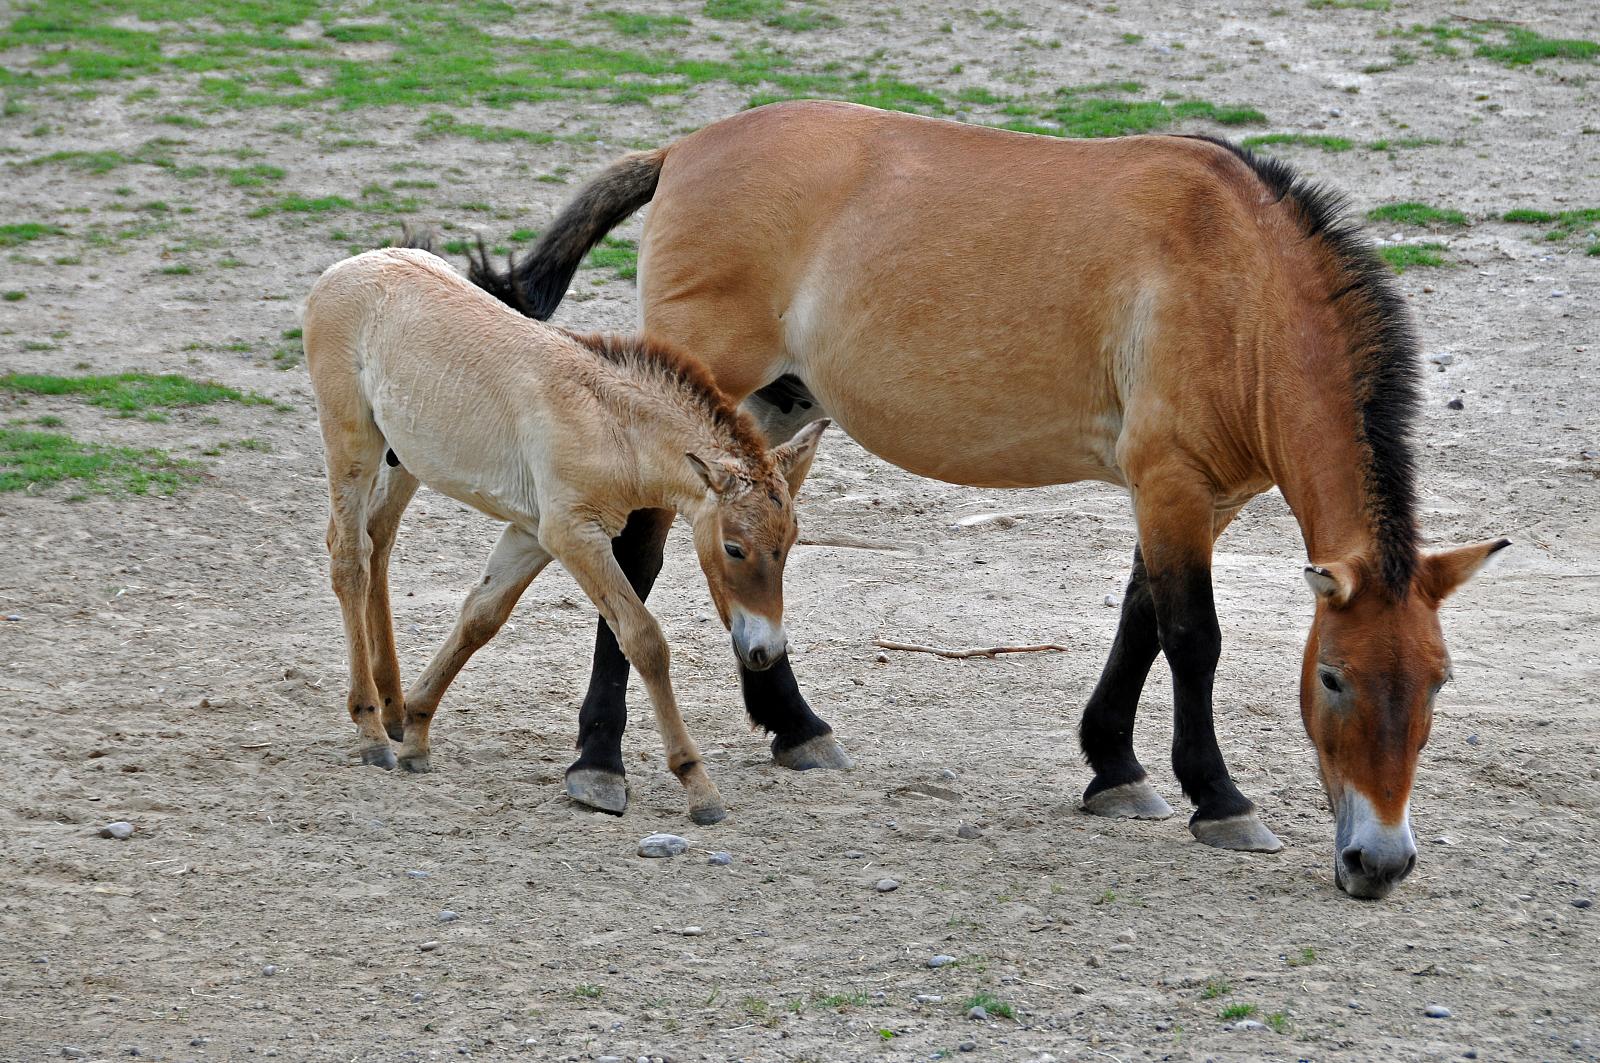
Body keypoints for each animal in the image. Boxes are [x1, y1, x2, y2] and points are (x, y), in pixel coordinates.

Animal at [467, 97, 1504, 896]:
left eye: (1438, 681)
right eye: (1333, 677)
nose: (1380, 861)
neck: (1236, 280)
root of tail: (683, 150)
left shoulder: (1199, 499)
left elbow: (1139, 618)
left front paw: (1114, 768)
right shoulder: (1170, 482)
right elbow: (1191, 636)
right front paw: (1219, 798)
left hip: (763, 409)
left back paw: (797, 727)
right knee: (636, 555)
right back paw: (598, 761)